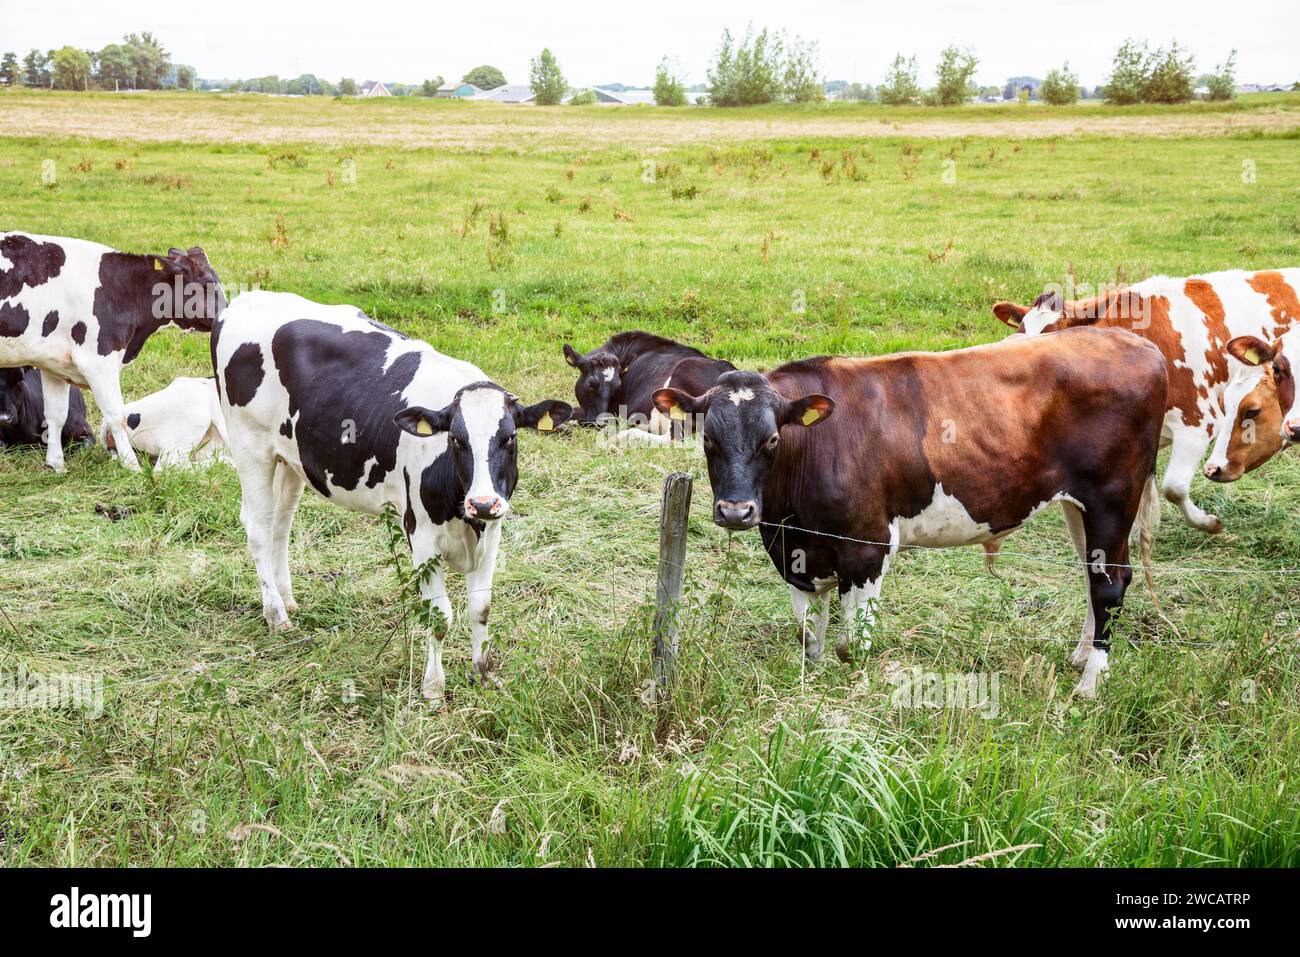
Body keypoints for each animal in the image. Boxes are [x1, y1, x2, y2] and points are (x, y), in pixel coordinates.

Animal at [0, 231, 224, 473]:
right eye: (207, 283)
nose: (229, 312)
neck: (120, 289)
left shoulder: (54, 364)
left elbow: (56, 415)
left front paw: (56, 466)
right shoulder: (98, 360)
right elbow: (117, 416)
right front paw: (133, 467)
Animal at [213, 291, 573, 707]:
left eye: (510, 437)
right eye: (455, 440)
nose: (482, 502)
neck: (464, 515)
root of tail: (247, 297)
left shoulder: (491, 533)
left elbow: (481, 609)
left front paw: (483, 675)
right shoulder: (422, 536)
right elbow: (440, 617)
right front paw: (433, 690)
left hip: (290, 459)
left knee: (279, 526)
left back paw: (287, 600)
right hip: (250, 447)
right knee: (257, 527)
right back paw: (276, 616)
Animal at [652, 328, 1168, 698]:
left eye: (773, 439)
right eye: (707, 438)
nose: (736, 511)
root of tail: (1138, 343)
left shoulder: (867, 546)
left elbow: (851, 645)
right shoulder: (794, 550)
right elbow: (809, 636)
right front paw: (811, 677)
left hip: (1113, 496)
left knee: (1110, 584)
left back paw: (1090, 685)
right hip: (1078, 505)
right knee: (1092, 574)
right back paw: (1081, 657)